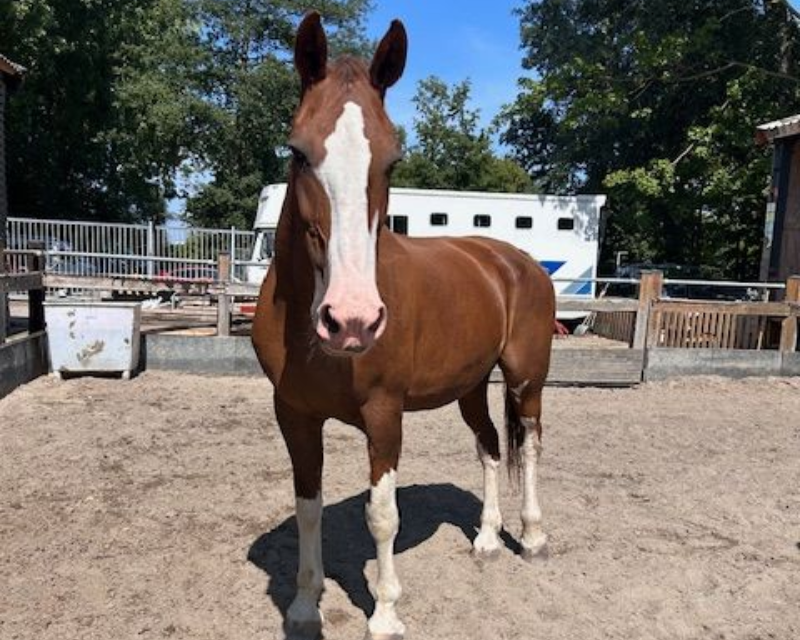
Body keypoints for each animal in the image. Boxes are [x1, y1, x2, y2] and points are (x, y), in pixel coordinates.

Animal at [252, 12, 555, 640]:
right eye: (298, 152)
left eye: (391, 161)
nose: (351, 319)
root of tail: (513, 262)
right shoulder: (293, 414)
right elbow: (307, 507)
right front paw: (304, 606)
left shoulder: (383, 414)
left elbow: (382, 515)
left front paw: (386, 613)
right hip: (471, 386)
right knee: (490, 448)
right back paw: (488, 540)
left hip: (525, 379)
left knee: (531, 445)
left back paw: (534, 537)